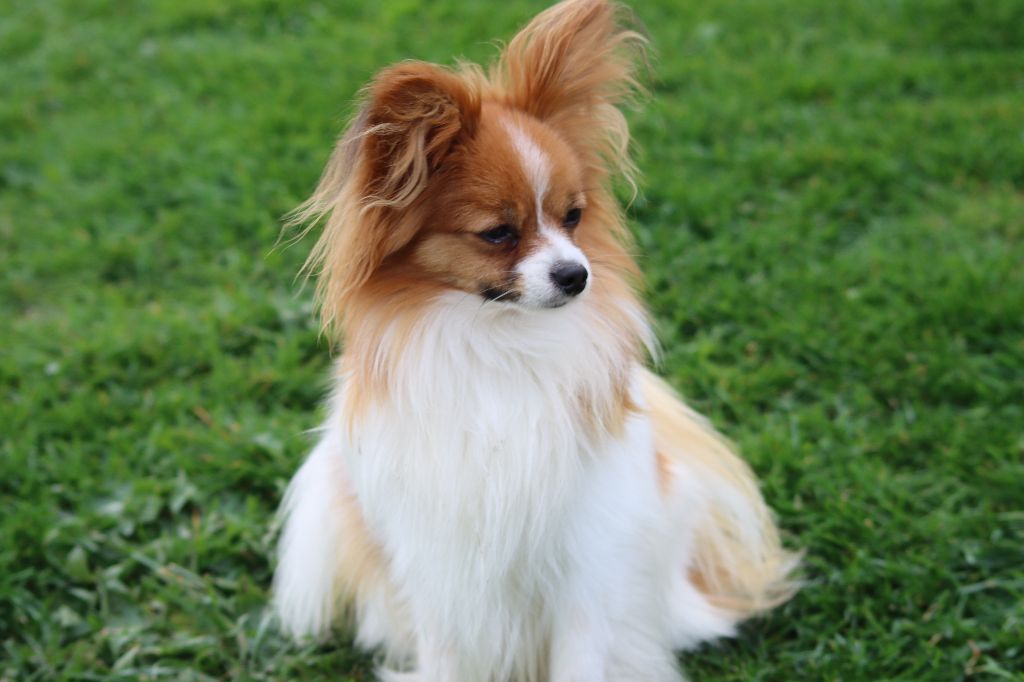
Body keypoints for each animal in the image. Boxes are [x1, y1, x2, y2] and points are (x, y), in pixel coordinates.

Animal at [274, 1, 798, 675]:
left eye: (573, 217)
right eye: (498, 233)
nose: (577, 275)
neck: (499, 340)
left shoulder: (588, 558)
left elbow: (582, 658)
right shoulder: (437, 564)